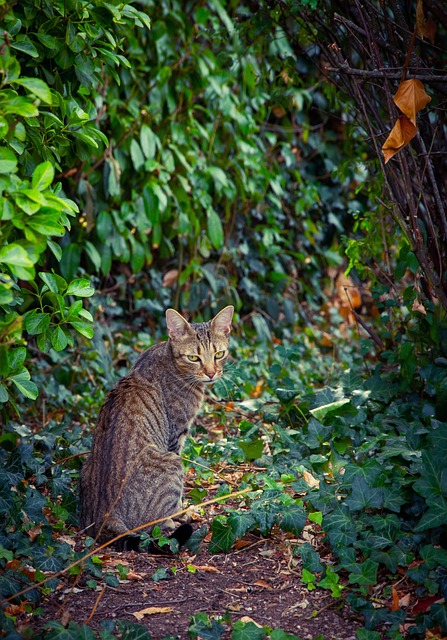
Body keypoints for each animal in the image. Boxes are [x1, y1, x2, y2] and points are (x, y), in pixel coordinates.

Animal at [78, 304, 234, 552]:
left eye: (219, 354)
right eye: (194, 357)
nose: (211, 373)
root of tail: (105, 517)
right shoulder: (176, 435)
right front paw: (182, 508)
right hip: (171, 462)